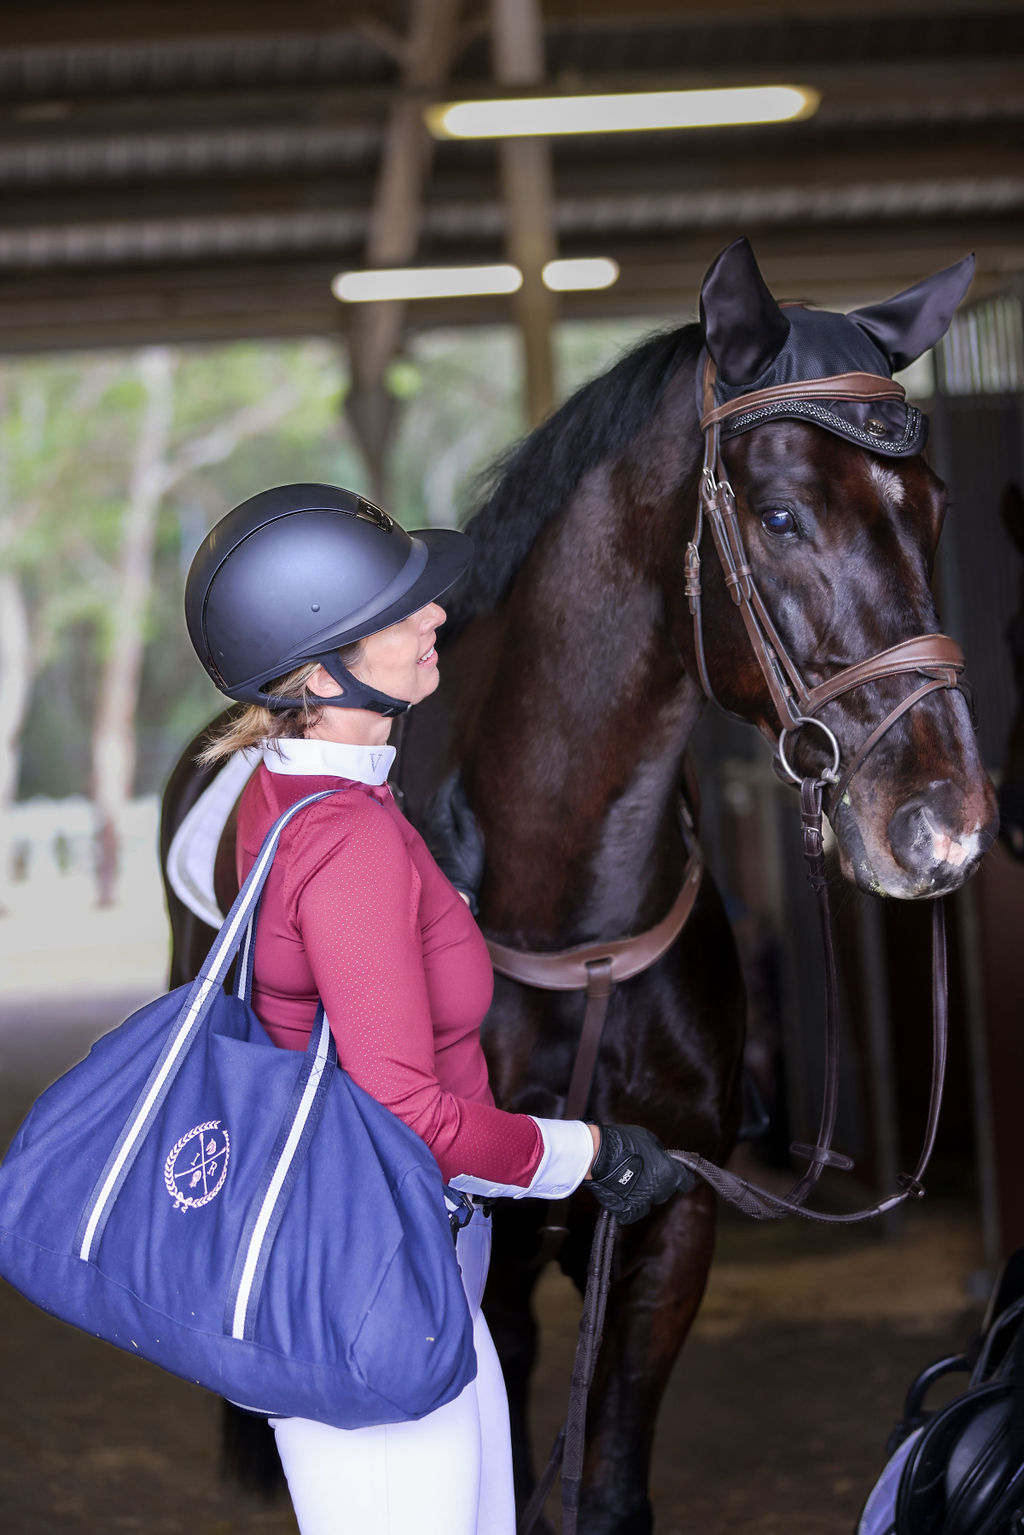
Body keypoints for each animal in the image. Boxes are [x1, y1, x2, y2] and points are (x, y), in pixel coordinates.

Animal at [161, 245, 1000, 1528]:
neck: (575, 917)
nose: (943, 825)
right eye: (780, 512)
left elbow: (609, 1488)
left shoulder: (669, 1220)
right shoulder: (490, 1251)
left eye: (933, 506)